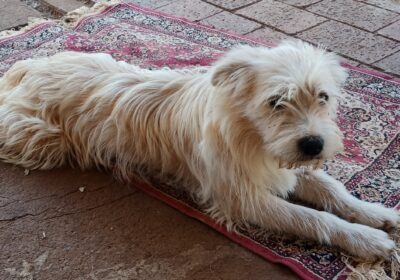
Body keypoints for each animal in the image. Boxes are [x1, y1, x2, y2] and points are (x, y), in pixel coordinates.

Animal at [0, 40, 398, 260]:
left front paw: (375, 213)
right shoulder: (246, 199)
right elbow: (314, 218)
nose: (314, 144)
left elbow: (333, 190)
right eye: (275, 102)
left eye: (323, 97)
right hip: (42, 138)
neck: (252, 134)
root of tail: (31, 65)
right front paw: (365, 239)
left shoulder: (287, 165)